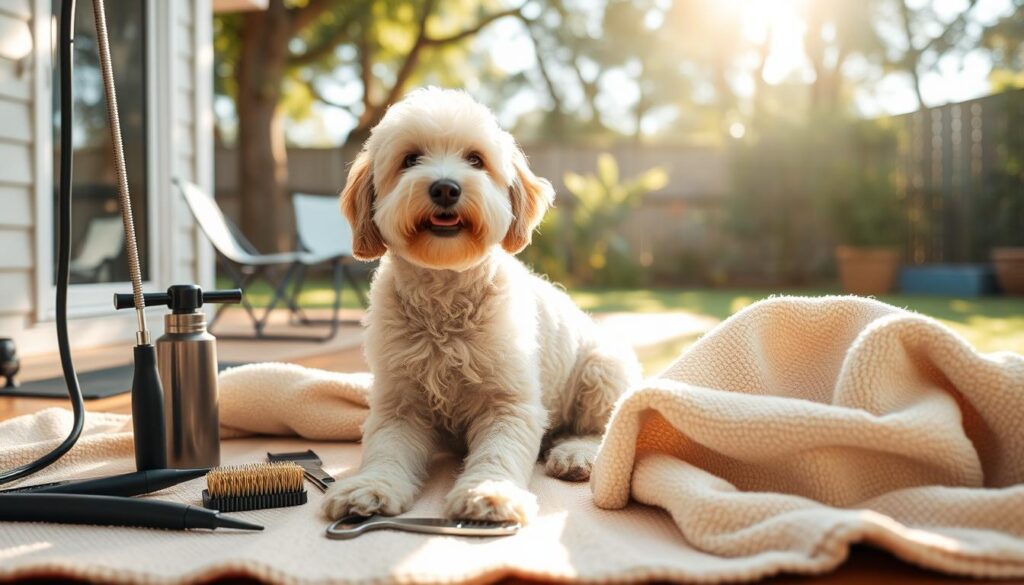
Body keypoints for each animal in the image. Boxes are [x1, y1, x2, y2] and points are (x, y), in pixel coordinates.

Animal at [319, 88, 638, 524]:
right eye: (410, 159)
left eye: (475, 159)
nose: (445, 188)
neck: (444, 303)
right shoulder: (399, 404)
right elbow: (386, 450)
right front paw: (372, 486)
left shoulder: (508, 403)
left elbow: (498, 454)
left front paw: (490, 493)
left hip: (603, 369)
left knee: (601, 429)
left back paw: (576, 454)